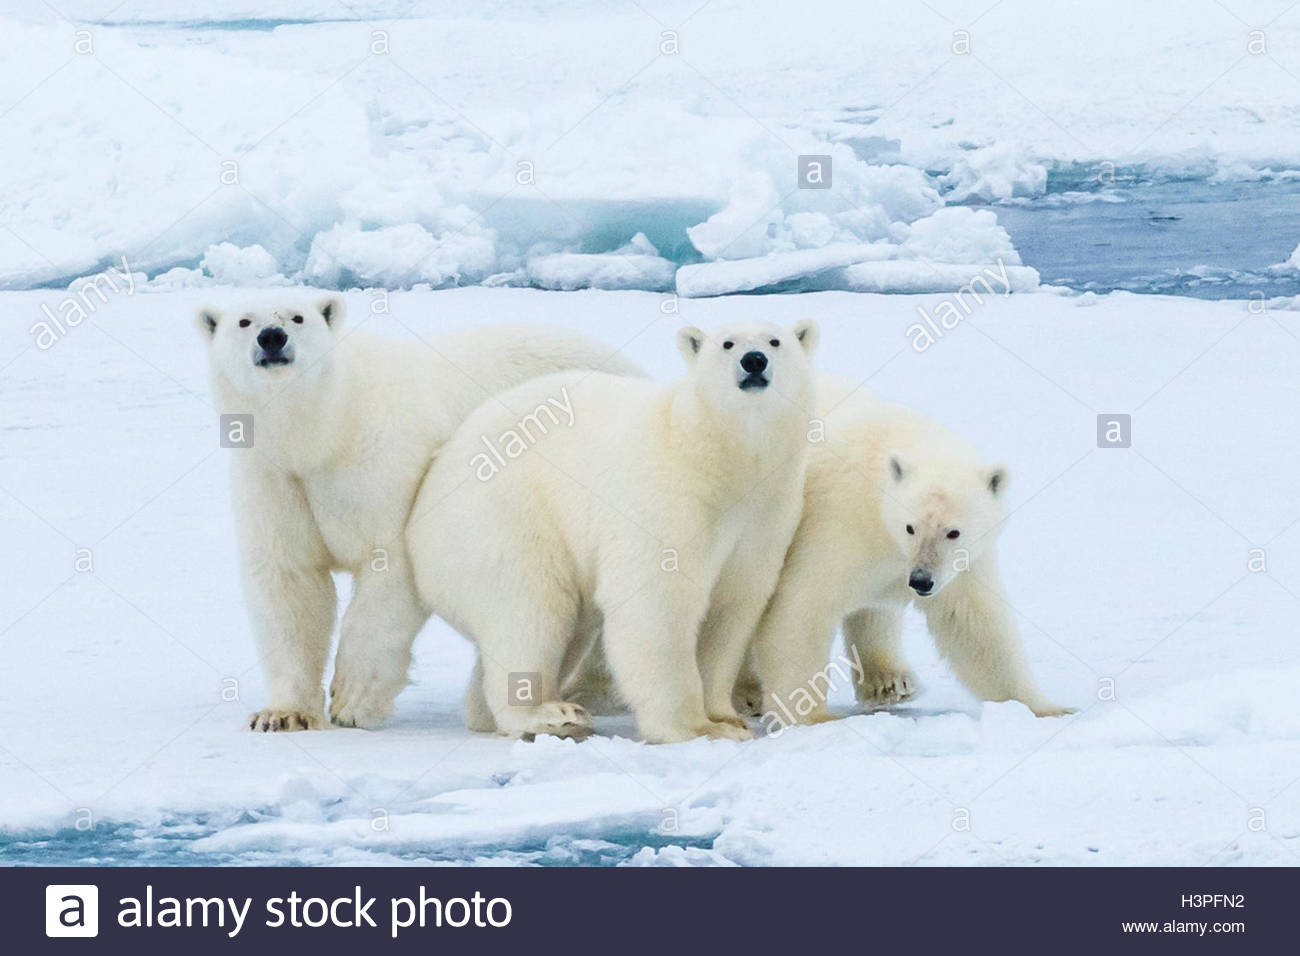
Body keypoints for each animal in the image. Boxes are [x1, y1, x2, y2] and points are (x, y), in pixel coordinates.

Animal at [196, 295, 643, 732]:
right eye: (244, 321)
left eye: (298, 316)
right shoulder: (275, 479)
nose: (272, 338)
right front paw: (282, 714)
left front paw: (352, 700)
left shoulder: (382, 464)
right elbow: (289, 580)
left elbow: (388, 565)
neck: (324, 432)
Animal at [405, 319, 820, 743]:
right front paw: (695, 727)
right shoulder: (669, 499)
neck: (715, 455)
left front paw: (727, 718)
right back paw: (550, 714)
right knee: (531, 609)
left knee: (566, 627)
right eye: (727, 343)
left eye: (775, 340)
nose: (754, 361)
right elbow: (658, 604)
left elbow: (731, 608)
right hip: (503, 519)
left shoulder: (763, 518)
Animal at [745, 377, 1071, 728]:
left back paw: (891, 682)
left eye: (953, 532)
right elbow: (801, 609)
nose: (921, 581)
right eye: (910, 527)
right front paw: (813, 718)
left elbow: (974, 626)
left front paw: (1045, 709)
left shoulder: (963, 565)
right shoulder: (835, 526)